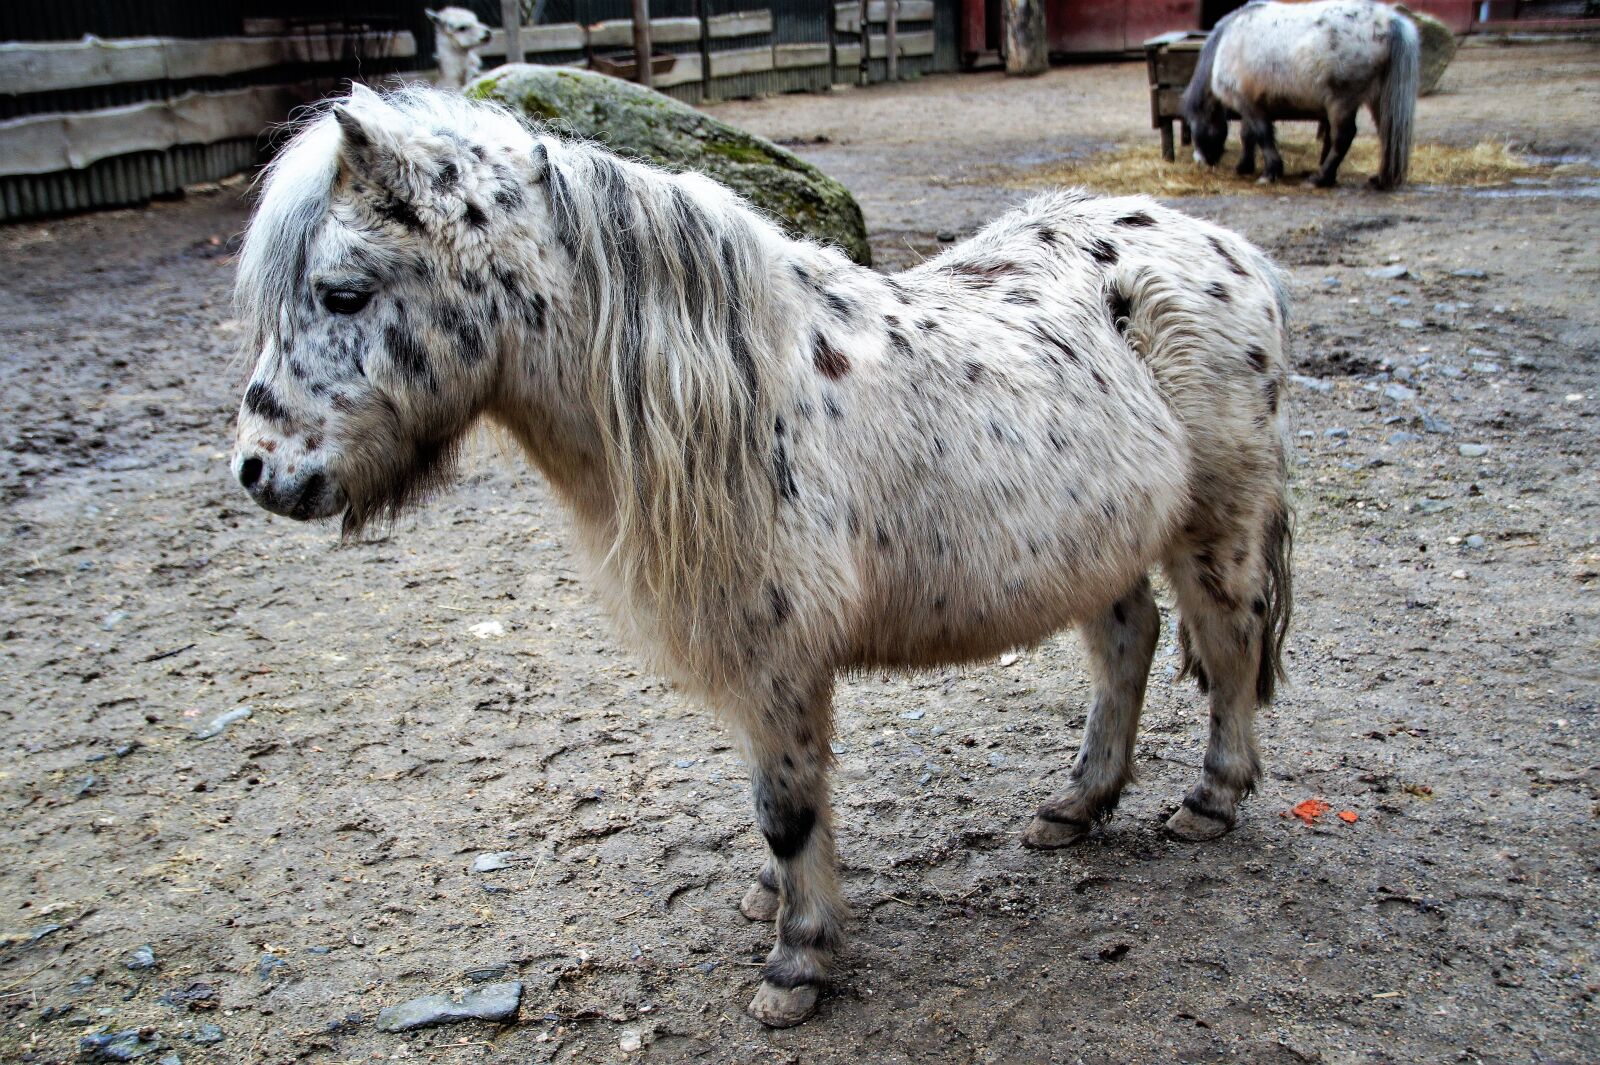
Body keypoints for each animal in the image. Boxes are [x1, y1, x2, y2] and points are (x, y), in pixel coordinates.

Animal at [230, 85, 1294, 1027]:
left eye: (342, 293)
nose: (256, 470)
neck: (731, 395)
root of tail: (1231, 251)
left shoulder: (778, 656)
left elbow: (786, 807)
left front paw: (798, 962)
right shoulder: (753, 661)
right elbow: (781, 805)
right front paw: (778, 904)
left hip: (1216, 522)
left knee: (1229, 641)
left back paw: (1210, 798)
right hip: (1104, 541)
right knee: (1129, 642)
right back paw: (1076, 805)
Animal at [1182, 0, 1420, 189]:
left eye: (1196, 125)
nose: (1200, 160)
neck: (1225, 44)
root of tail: (1388, 21)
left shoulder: (1247, 103)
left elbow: (1262, 135)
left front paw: (1270, 172)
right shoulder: (1251, 103)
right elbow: (1248, 135)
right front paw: (1245, 167)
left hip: (1341, 102)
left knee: (1343, 137)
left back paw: (1320, 178)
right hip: (1379, 99)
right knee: (1386, 133)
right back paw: (1379, 178)